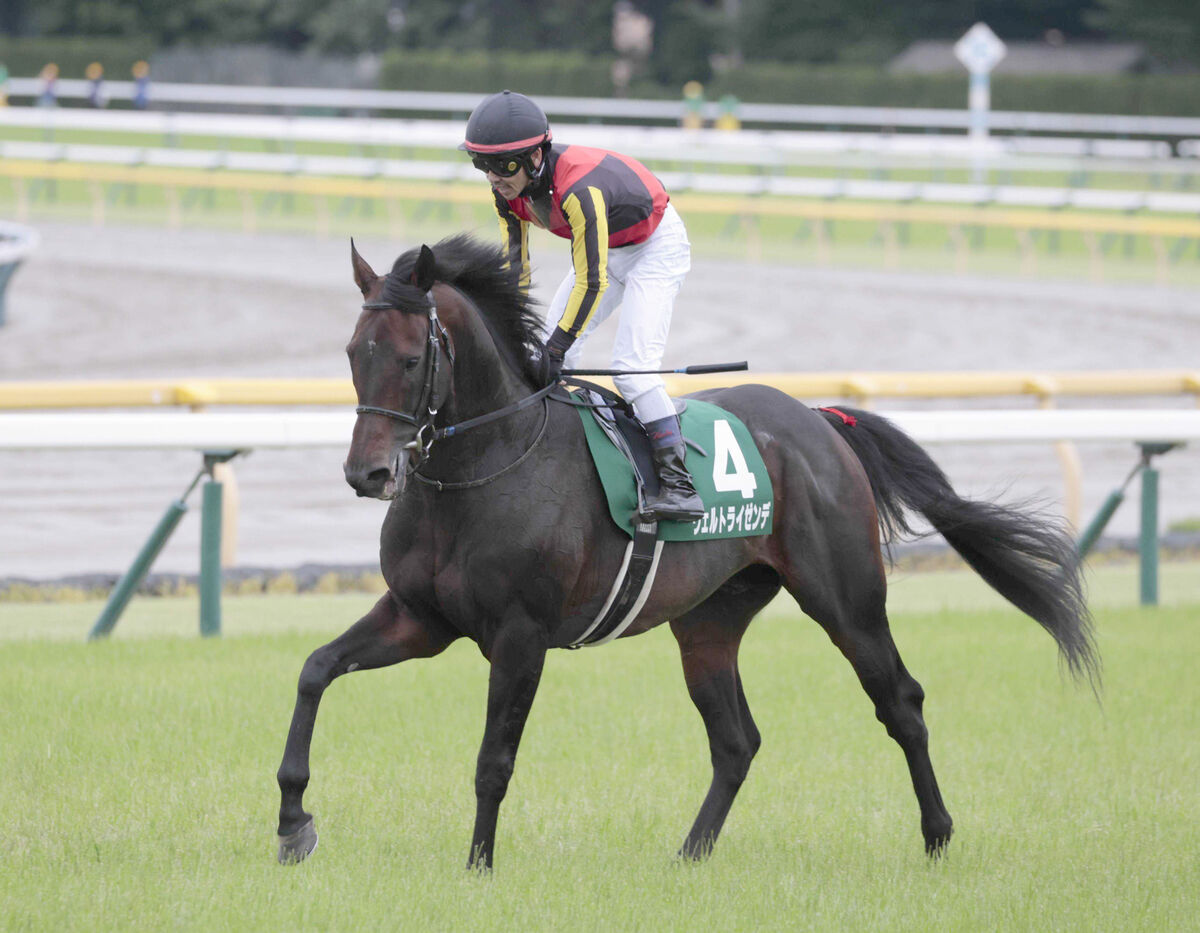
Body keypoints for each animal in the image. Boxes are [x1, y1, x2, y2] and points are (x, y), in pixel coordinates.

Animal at [276, 230, 1099, 863]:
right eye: (352, 352)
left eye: (412, 358)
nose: (368, 473)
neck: (481, 466)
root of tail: (819, 420)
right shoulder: (420, 617)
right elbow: (314, 670)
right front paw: (292, 823)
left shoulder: (519, 634)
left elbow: (493, 760)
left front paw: (478, 865)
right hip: (708, 619)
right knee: (736, 740)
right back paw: (690, 854)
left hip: (847, 599)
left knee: (900, 701)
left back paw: (936, 836)